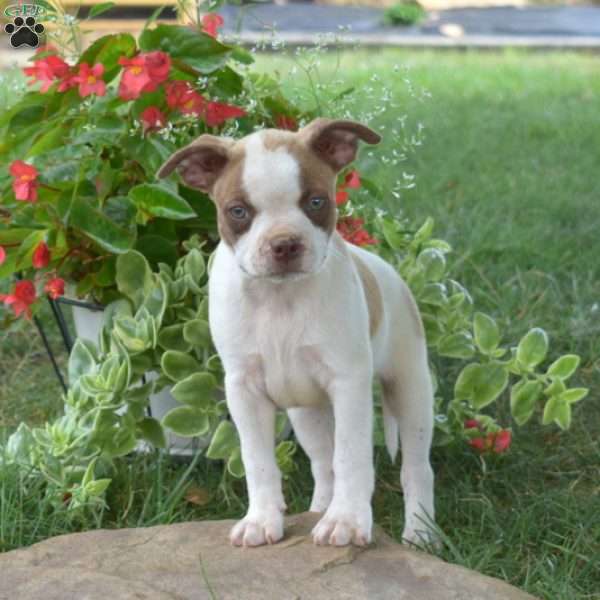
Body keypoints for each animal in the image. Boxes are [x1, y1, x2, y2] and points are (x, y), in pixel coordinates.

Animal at [159, 118, 436, 548]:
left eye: (317, 202)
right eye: (238, 211)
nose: (284, 244)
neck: (280, 298)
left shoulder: (348, 383)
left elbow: (351, 456)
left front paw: (347, 520)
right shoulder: (244, 390)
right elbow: (258, 461)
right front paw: (261, 519)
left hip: (410, 391)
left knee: (417, 468)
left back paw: (421, 533)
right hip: (306, 412)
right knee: (323, 462)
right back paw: (320, 508)